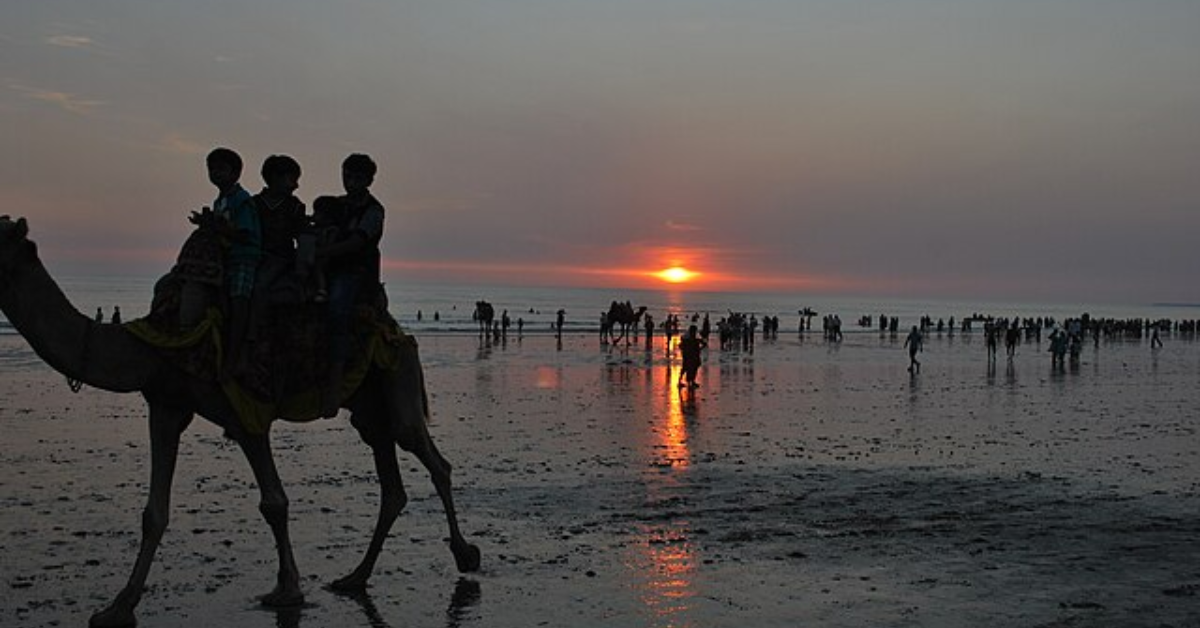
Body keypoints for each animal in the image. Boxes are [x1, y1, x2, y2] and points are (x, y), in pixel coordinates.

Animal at [0, 217, 477, 628]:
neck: (152, 343)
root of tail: (396, 327)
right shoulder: (166, 405)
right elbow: (154, 512)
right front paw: (118, 607)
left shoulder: (245, 410)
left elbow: (274, 502)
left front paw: (288, 590)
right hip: (369, 408)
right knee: (392, 486)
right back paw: (354, 577)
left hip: (398, 378)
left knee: (432, 458)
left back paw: (465, 554)